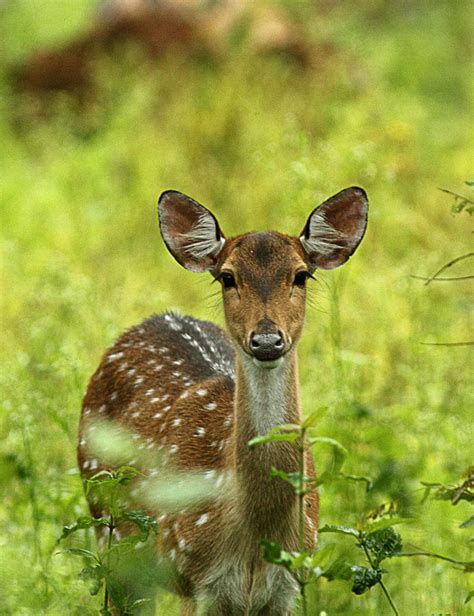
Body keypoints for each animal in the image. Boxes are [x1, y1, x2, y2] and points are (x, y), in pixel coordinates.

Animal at [78, 188, 368, 616]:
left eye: (301, 274)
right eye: (227, 276)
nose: (266, 340)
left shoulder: (290, 583)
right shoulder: (191, 576)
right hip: (109, 527)